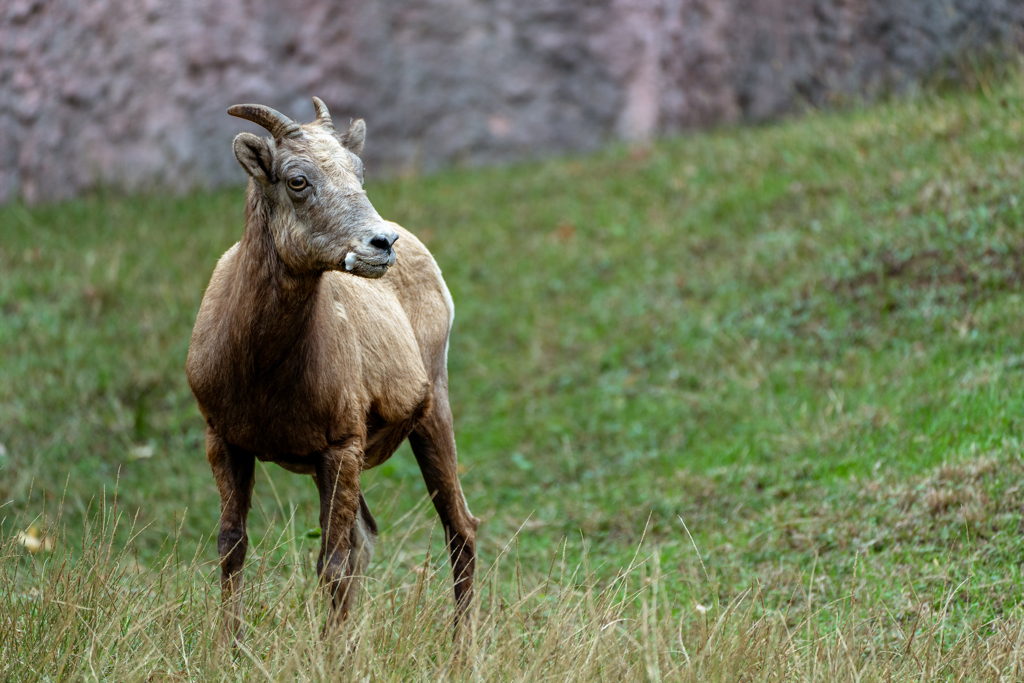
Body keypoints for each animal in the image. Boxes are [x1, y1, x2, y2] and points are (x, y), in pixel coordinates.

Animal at [185, 98, 479, 643]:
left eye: (358, 171)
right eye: (297, 180)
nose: (382, 243)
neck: (263, 372)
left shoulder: (340, 449)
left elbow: (332, 566)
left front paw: (328, 652)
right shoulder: (226, 444)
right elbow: (232, 548)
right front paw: (228, 649)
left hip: (430, 420)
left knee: (459, 529)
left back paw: (460, 648)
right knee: (367, 538)